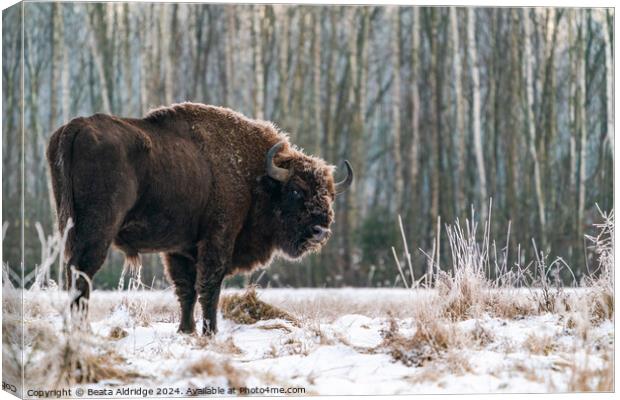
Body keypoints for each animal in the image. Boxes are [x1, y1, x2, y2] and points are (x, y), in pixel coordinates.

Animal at [46, 102, 352, 334]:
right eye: (296, 190)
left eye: (329, 193)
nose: (320, 231)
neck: (253, 176)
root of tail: (76, 127)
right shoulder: (218, 239)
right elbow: (209, 285)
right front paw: (210, 331)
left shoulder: (180, 249)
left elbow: (186, 289)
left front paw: (186, 330)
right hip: (97, 230)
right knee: (82, 273)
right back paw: (82, 330)